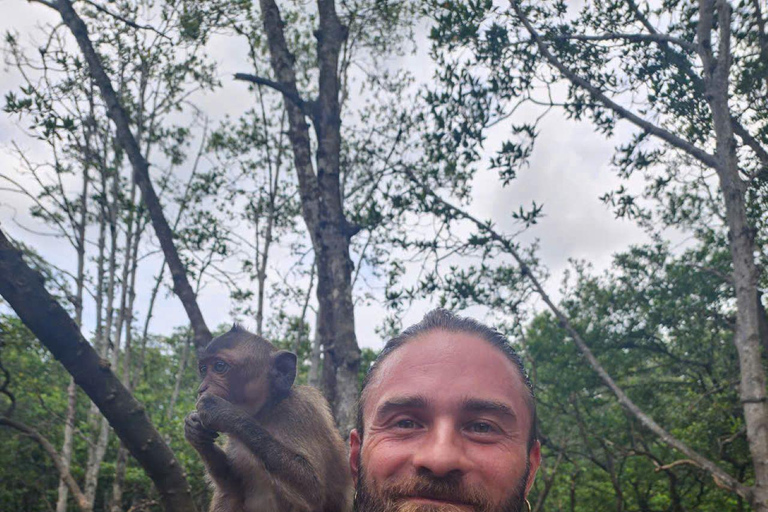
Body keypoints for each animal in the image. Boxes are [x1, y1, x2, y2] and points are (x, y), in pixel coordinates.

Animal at [186, 326, 354, 510]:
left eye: (219, 366)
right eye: (203, 369)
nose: (201, 389)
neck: (266, 412)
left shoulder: (300, 412)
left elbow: (313, 490)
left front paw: (223, 412)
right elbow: (233, 486)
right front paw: (195, 431)